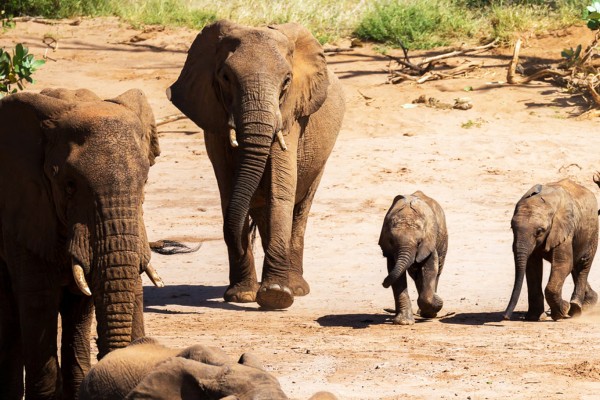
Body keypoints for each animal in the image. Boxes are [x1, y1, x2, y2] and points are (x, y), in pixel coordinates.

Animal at [169, 20, 346, 310]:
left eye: (287, 81)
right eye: (226, 77)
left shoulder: (291, 116)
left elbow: (281, 191)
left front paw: (276, 295)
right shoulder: (214, 121)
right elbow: (229, 192)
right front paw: (242, 295)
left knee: (300, 209)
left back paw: (296, 288)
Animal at [378, 191, 448, 324]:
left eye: (419, 242)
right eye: (391, 241)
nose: (383, 283)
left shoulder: (429, 240)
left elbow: (430, 267)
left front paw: (435, 303)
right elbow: (395, 274)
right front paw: (403, 322)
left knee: (437, 270)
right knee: (415, 275)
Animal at [504, 179, 596, 322]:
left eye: (539, 231)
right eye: (512, 228)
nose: (505, 317)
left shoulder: (563, 229)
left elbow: (563, 264)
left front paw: (562, 312)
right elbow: (532, 267)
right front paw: (534, 317)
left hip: (592, 232)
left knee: (582, 264)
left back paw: (575, 309)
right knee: (575, 266)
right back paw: (588, 303)